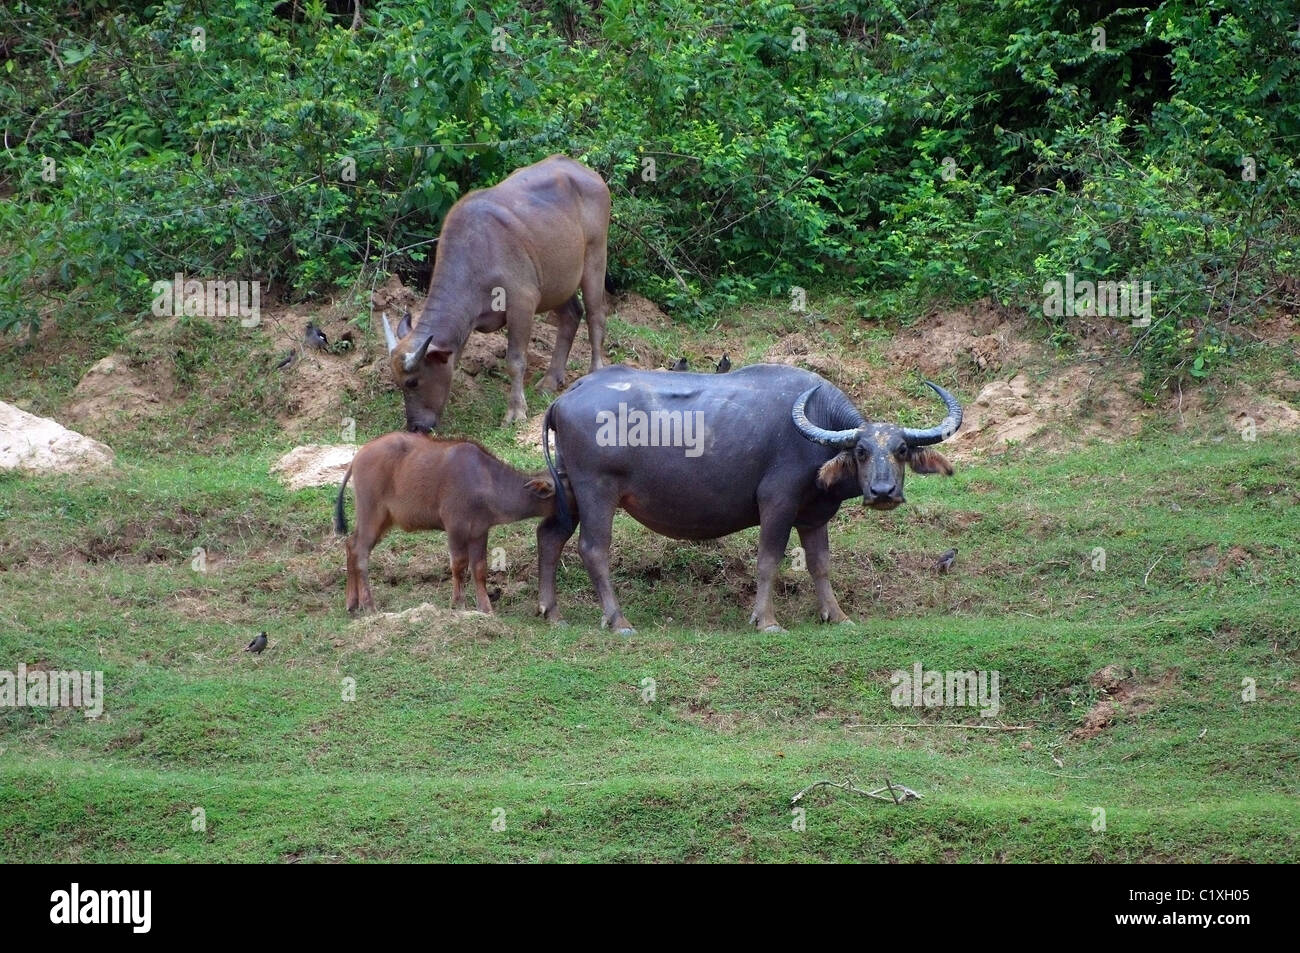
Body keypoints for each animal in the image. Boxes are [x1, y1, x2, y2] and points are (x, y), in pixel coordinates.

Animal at [332, 429, 561, 608]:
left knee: (351, 544)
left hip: (383, 520)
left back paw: (352, 603)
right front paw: (458, 604)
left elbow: (479, 568)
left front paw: (485, 608)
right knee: (360, 551)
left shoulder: (479, 531)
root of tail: (358, 457)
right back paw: (368, 605)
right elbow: (459, 564)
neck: (485, 480)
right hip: (371, 513)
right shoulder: (455, 527)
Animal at [382, 154, 611, 429]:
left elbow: (515, 361)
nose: (416, 426)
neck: (478, 254)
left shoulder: (522, 303)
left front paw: (516, 412)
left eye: (413, 381)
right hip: (557, 281)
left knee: (595, 316)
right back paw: (550, 380)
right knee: (571, 315)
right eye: (399, 384)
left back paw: (595, 373)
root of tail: (591, 174)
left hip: (595, 258)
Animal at [540, 361, 967, 631]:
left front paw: (837, 616)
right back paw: (619, 621)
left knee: (550, 536)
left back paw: (552, 613)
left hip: (568, 487)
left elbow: (820, 564)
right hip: (597, 490)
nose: (882, 492)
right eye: (860, 451)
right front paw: (767, 621)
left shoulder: (814, 516)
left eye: (901, 450)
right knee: (594, 549)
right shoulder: (777, 503)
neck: (818, 430)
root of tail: (568, 395)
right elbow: (768, 560)